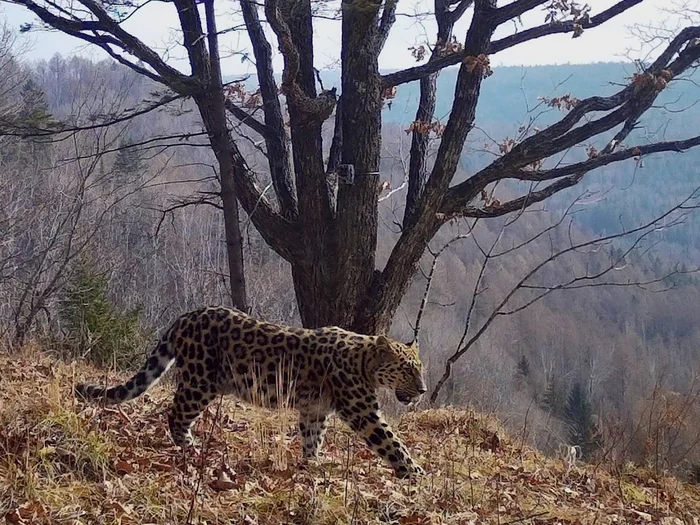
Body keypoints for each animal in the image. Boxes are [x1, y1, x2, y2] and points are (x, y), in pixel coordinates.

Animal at [75, 304, 426, 476]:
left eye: (420, 369)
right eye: (407, 370)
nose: (422, 390)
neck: (364, 359)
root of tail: (185, 317)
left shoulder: (314, 410)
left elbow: (312, 437)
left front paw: (311, 464)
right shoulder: (363, 412)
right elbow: (393, 443)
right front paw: (416, 474)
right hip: (200, 381)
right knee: (175, 414)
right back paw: (191, 448)